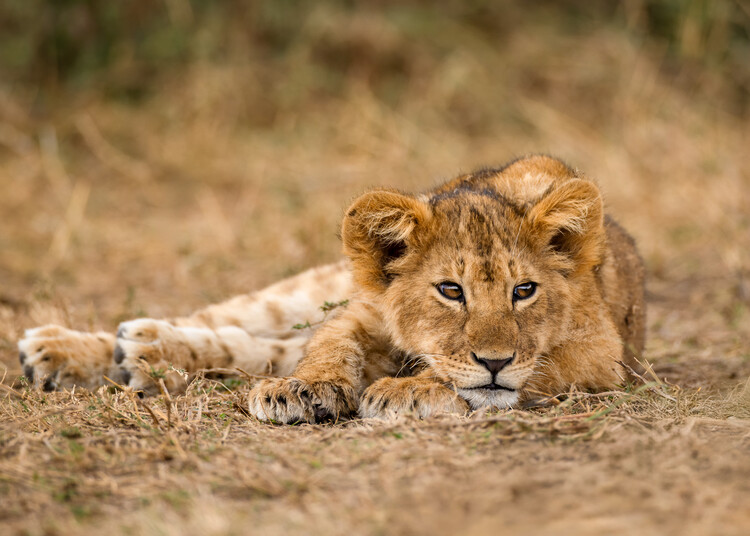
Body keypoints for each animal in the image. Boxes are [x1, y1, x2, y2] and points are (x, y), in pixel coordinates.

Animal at [17, 155, 644, 421]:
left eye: (524, 291)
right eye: (450, 290)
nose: (494, 361)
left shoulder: (604, 356)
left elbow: (535, 367)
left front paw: (409, 390)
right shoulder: (362, 310)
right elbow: (329, 343)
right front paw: (301, 390)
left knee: (259, 347)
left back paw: (139, 354)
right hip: (308, 288)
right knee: (237, 322)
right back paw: (64, 349)